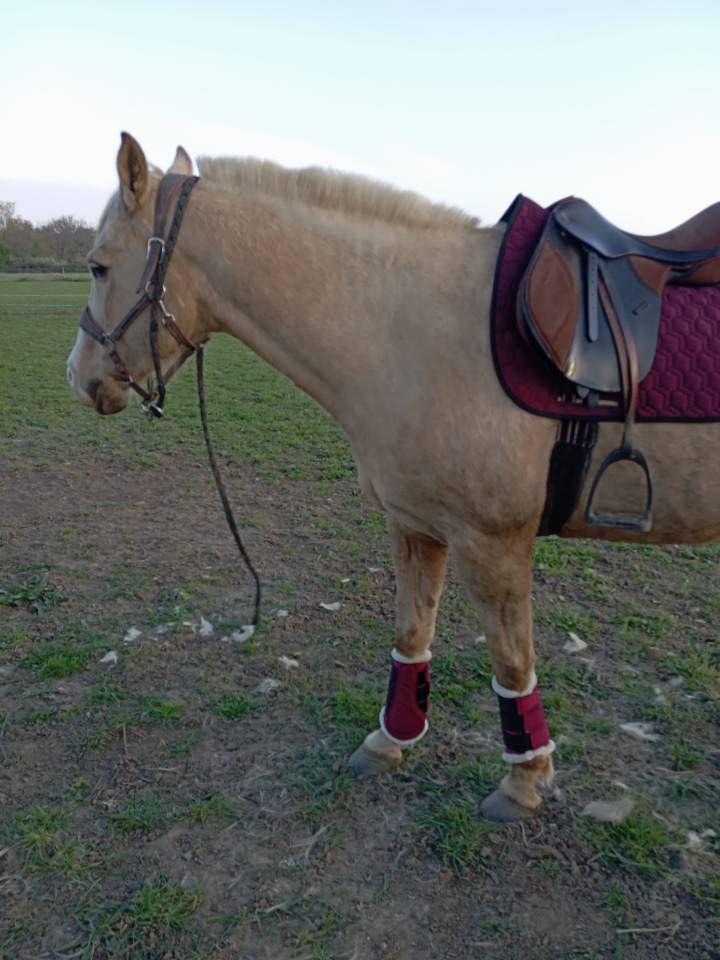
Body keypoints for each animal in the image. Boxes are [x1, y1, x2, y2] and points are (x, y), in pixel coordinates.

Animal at [67, 133, 720, 821]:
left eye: (98, 266)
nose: (79, 378)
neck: (420, 330)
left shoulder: (494, 545)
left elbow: (512, 663)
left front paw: (523, 781)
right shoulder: (415, 526)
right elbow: (412, 633)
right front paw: (390, 741)